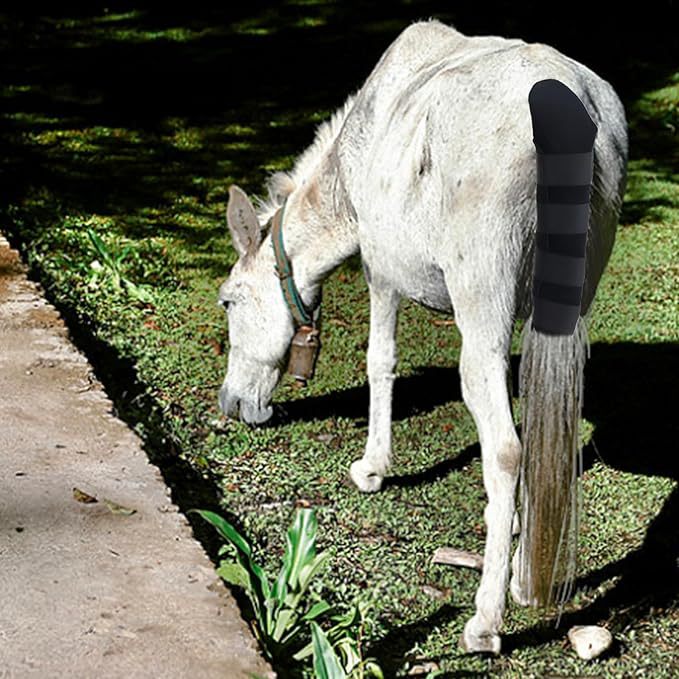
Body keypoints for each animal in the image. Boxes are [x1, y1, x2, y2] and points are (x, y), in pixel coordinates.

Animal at [217, 19, 628, 653]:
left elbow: (380, 362)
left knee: (506, 448)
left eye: (229, 301)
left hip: (481, 310)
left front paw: (372, 468)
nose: (231, 403)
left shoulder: (379, 270)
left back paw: (485, 621)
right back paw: (525, 578)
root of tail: (568, 104)